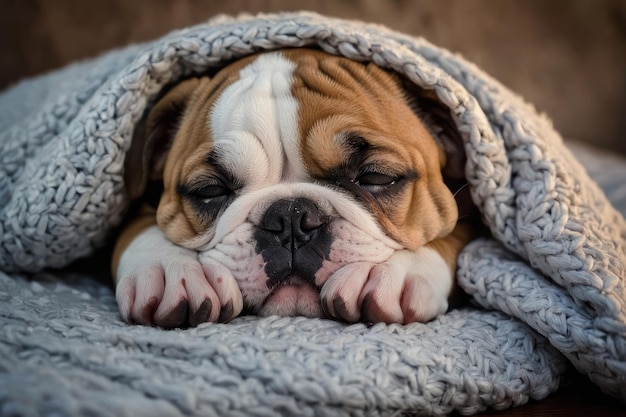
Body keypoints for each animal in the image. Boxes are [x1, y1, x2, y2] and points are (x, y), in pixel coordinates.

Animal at [111, 48, 472, 328]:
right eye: (210, 191)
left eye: (376, 178)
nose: (291, 217)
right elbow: (137, 226)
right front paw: (167, 270)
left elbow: (450, 240)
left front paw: (395, 274)